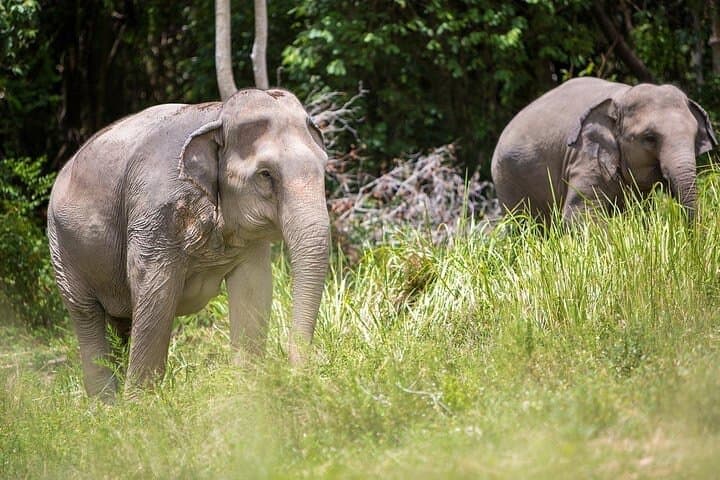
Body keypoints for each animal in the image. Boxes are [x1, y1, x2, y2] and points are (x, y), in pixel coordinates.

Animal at [47, 88, 330, 400]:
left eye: (324, 167)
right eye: (266, 174)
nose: (297, 376)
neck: (217, 114)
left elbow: (253, 289)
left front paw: (248, 394)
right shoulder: (155, 216)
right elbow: (155, 293)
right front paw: (140, 406)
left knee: (121, 321)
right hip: (62, 248)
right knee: (86, 314)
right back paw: (105, 404)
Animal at [491, 77, 717, 225]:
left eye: (694, 136)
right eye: (649, 138)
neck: (622, 96)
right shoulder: (584, 157)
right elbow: (580, 215)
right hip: (507, 180)